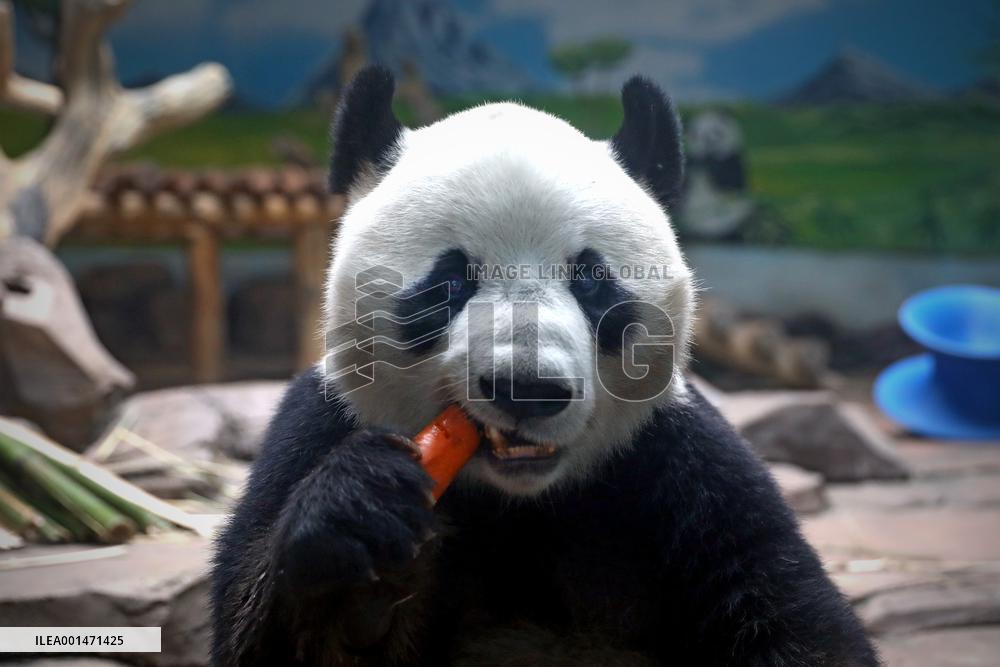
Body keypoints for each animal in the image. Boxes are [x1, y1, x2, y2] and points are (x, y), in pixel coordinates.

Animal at [210, 66, 878, 666]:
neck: (522, 499)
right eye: (449, 282)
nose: (527, 388)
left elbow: (797, 623)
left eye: (591, 281)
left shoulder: (681, 468)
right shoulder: (318, 426)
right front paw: (360, 547)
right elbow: (260, 627)